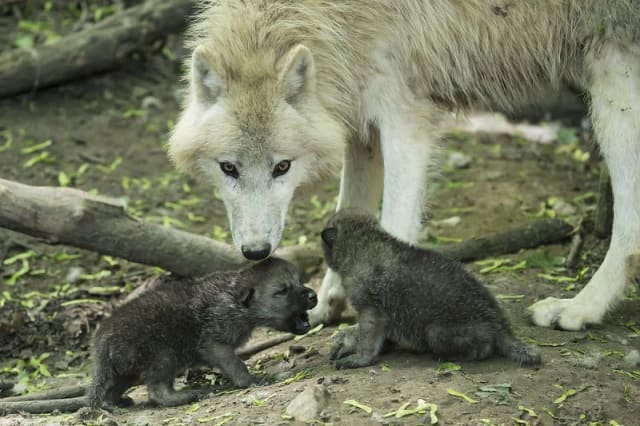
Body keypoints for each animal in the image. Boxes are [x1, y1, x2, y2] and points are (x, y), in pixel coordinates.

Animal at [168, 0, 640, 331]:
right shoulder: (358, 126)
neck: (337, 18)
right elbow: (344, 219)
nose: (255, 251)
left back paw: (580, 308)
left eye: (282, 167)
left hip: (613, 82)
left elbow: (393, 228)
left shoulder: (405, 119)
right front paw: (326, 303)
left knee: (630, 226)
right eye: (229, 169)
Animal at [321, 210, 541, 368]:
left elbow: (367, 340)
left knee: (483, 349)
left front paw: (358, 358)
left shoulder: (370, 310)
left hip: (434, 332)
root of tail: (500, 325)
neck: (363, 243)